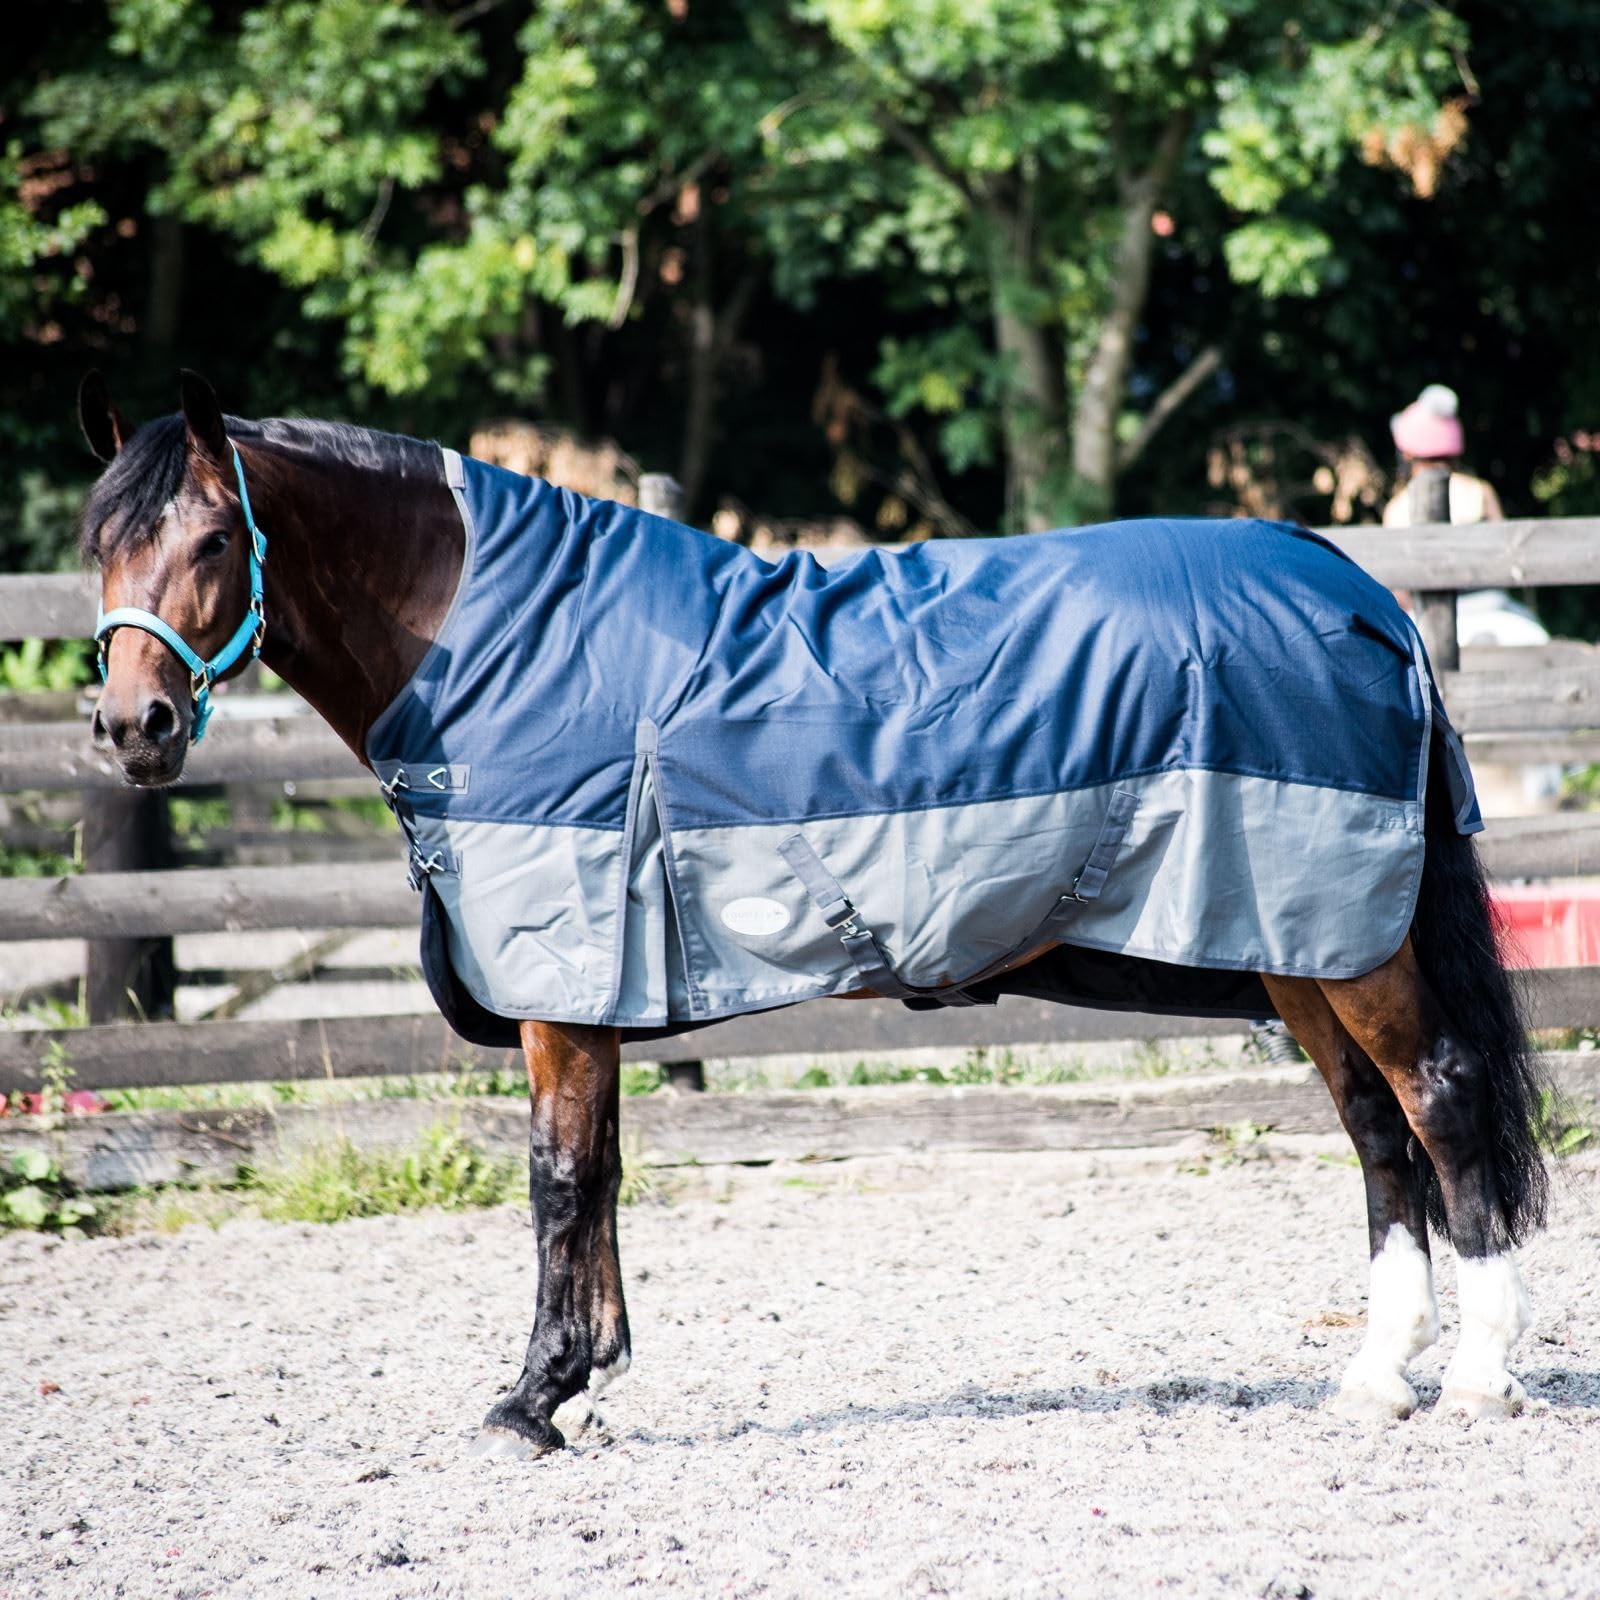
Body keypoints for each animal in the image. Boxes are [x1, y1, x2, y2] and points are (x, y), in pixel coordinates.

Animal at [77, 370, 1548, 1460]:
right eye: (100, 547)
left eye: (214, 539)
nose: (134, 728)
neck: (500, 639)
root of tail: (1359, 596)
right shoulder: (597, 993)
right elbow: (604, 1170)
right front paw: (587, 1380)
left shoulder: (564, 983)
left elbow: (558, 1178)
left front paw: (533, 1397)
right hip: (1301, 944)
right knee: (1375, 1130)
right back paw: (1375, 1378)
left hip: (1344, 940)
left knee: (1438, 1094)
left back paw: (1476, 1376)